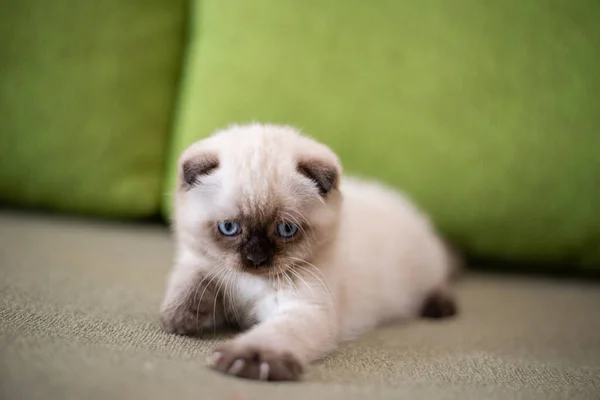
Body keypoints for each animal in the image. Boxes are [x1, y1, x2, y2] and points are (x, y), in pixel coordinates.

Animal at [157, 124, 458, 382]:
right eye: (229, 227)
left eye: (286, 229)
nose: (256, 259)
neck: (248, 284)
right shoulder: (204, 262)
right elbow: (192, 276)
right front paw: (180, 319)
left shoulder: (302, 308)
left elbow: (273, 335)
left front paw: (249, 361)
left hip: (424, 268)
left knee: (440, 278)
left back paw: (440, 307)